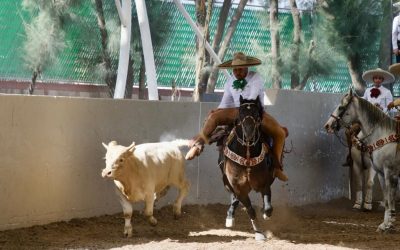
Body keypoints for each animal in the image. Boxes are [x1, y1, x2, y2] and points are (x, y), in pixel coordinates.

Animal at [219, 95, 276, 240]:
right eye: (240, 113)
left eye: (256, 114)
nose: (249, 132)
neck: (248, 156)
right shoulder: (238, 188)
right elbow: (250, 209)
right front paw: (259, 233)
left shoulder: (265, 183)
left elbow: (268, 205)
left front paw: (265, 213)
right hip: (227, 183)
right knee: (234, 198)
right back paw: (230, 217)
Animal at [324, 89, 400, 231]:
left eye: (341, 107)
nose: (327, 125)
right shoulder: (380, 173)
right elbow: (387, 199)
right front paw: (384, 225)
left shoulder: (389, 172)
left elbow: (389, 197)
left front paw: (388, 223)